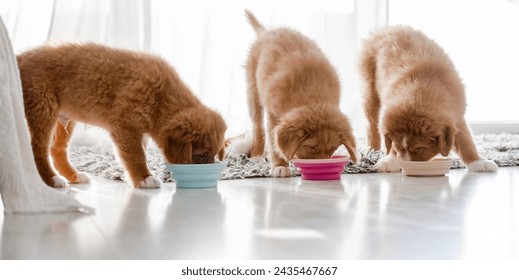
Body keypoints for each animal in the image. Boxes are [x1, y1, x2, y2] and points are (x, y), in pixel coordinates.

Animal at [18, 43, 225, 188]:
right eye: (201, 155)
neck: (162, 97)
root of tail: (20, 57)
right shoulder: (126, 127)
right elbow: (137, 155)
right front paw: (145, 178)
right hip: (43, 108)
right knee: (38, 149)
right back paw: (51, 179)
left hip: (65, 120)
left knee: (57, 150)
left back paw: (74, 176)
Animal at [244, 11, 358, 177]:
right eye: (312, 147)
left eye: (332, 148)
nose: (321, 167)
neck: (312, 96)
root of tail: (265, 32)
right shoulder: (274, 115)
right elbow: (274, 142)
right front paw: (280, 165)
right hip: (253, 90)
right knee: (257, 126)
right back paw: (256, 155)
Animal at [360, 25, 498, 172]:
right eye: (400, 147)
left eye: (419, 148)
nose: (406, 165)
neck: (419, 91)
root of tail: (388, 29)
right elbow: (390, 143)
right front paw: (390, 161)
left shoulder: (456, 114)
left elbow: (466, 140)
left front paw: (478, 161)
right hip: (369, 88)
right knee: (372, 124)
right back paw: (372, 151)